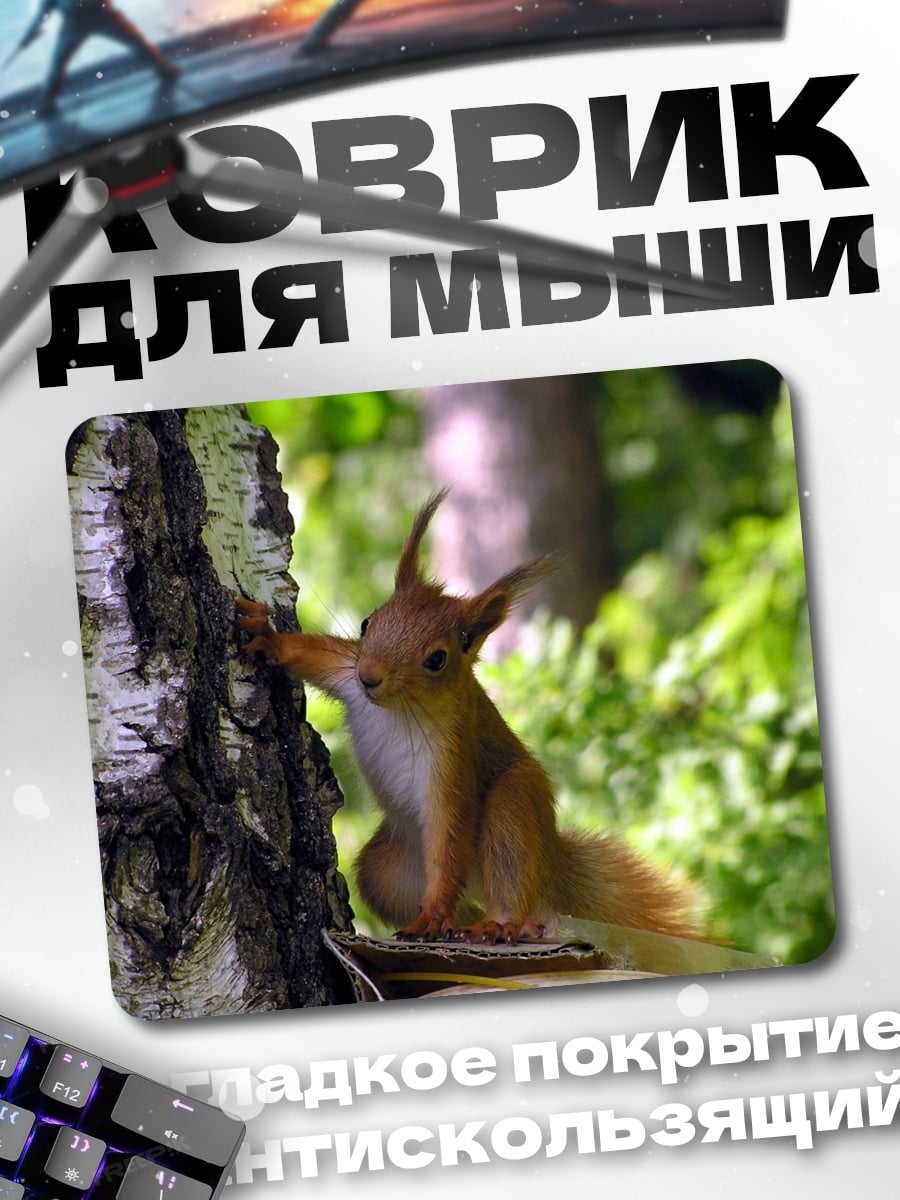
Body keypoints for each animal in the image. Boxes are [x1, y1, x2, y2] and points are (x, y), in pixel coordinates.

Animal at [236, 489, 701, 946]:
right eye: (368, 623)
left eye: (437, 659)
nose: (370, 677)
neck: (399, 710)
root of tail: (551, 864)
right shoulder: (347, 673)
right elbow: (314, 656)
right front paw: (269, 638)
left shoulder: (453, 757)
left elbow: (450, 837)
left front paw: (432, 914)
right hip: (387, 870)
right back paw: (462, 923)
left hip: (515, 805)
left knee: (509, 875)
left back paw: (501, 924)